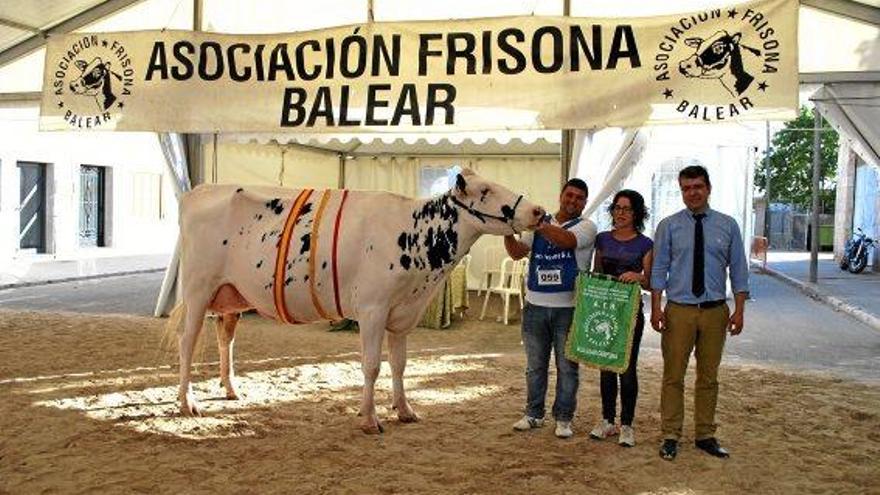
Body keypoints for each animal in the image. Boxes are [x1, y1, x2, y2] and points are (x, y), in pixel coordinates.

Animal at [171, 170, 544, 434]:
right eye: (486, 191)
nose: (539, 210)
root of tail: (197, 191)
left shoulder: (403, 314)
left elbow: (400, 365)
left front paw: (404, 410)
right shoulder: (372, 308)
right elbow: (371, 366)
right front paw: (368, 419)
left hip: (231, 296)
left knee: (225, 338)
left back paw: (231, 390)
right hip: (197, 289)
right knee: (187, 341)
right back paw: (187, 402)